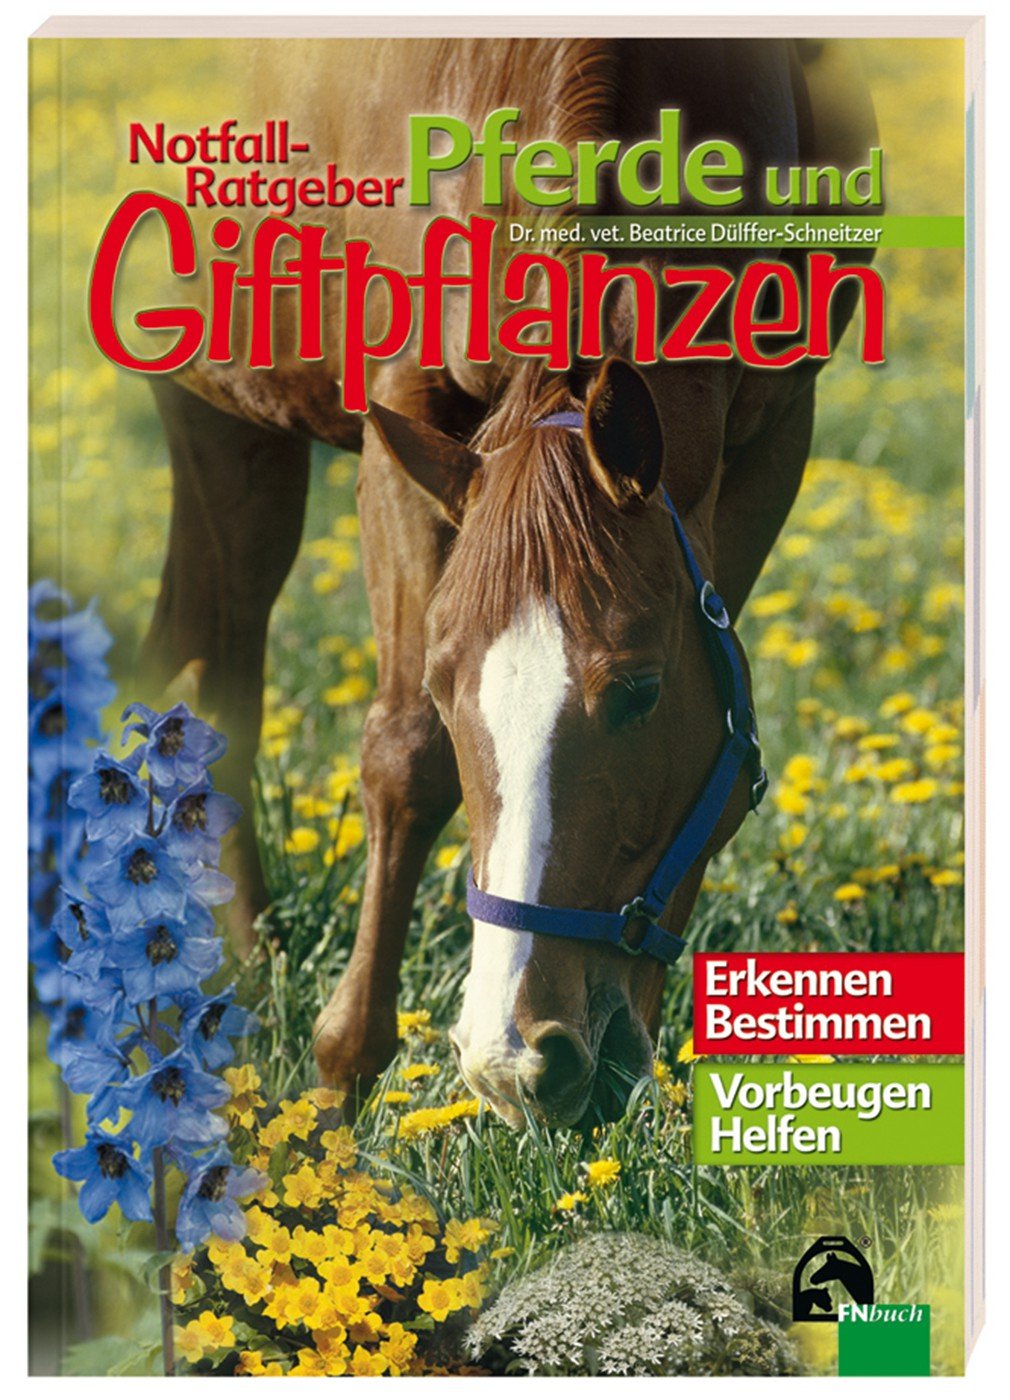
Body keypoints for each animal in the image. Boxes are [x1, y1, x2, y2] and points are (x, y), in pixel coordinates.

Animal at [138, 36, 877, 1126]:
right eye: (451, 691)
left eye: (641, 690)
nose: (519, 1058)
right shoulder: (401, 425)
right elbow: (403, 754)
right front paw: (342, 1073)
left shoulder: (771, 436)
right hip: (214, 405)